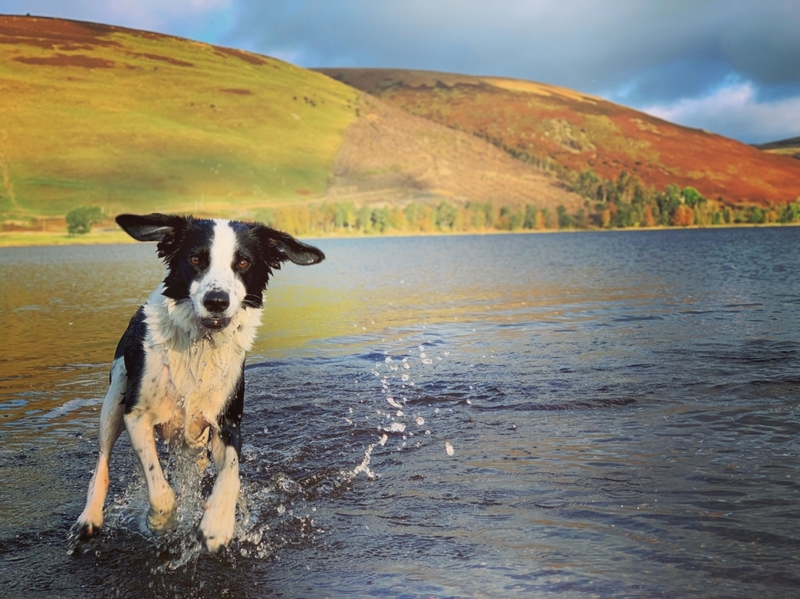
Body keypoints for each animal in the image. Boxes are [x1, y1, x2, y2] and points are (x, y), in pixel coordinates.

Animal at [73, 214, 324, 552]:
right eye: (195, 259)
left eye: (243, 262)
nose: (216, 301)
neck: (199, 345)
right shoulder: (136, 416)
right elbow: (159, 487)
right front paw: (162, 522)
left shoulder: (226, 421)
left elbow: (230, 473)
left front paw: (217, 524)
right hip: (113, 401)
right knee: (102, 459)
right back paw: (90, 518)